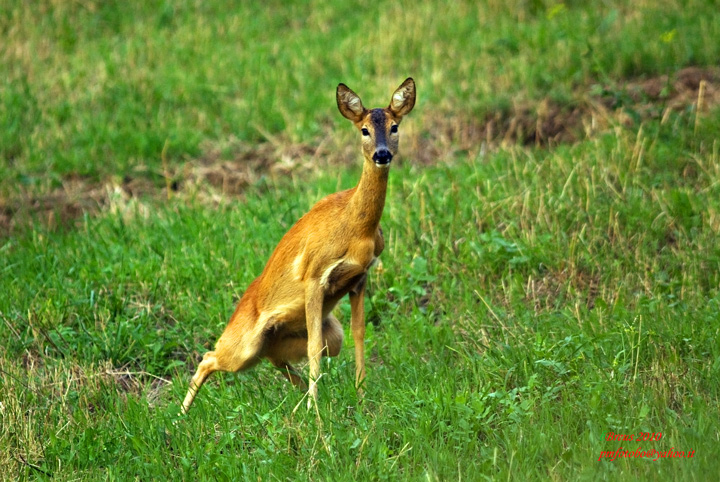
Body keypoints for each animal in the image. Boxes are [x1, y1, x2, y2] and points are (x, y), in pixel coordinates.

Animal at [180, 78, 416, 414]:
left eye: (395, 126)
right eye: (364, 130)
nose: (382, 154)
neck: (356, 228)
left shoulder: (360, 277)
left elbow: (359, 333)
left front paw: (360, 398)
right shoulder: (314, 275)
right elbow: (314, 345)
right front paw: (316, 414)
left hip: (292, 339)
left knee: (275, 357)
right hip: (244, 344)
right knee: (209, 357)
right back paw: (179, 416)